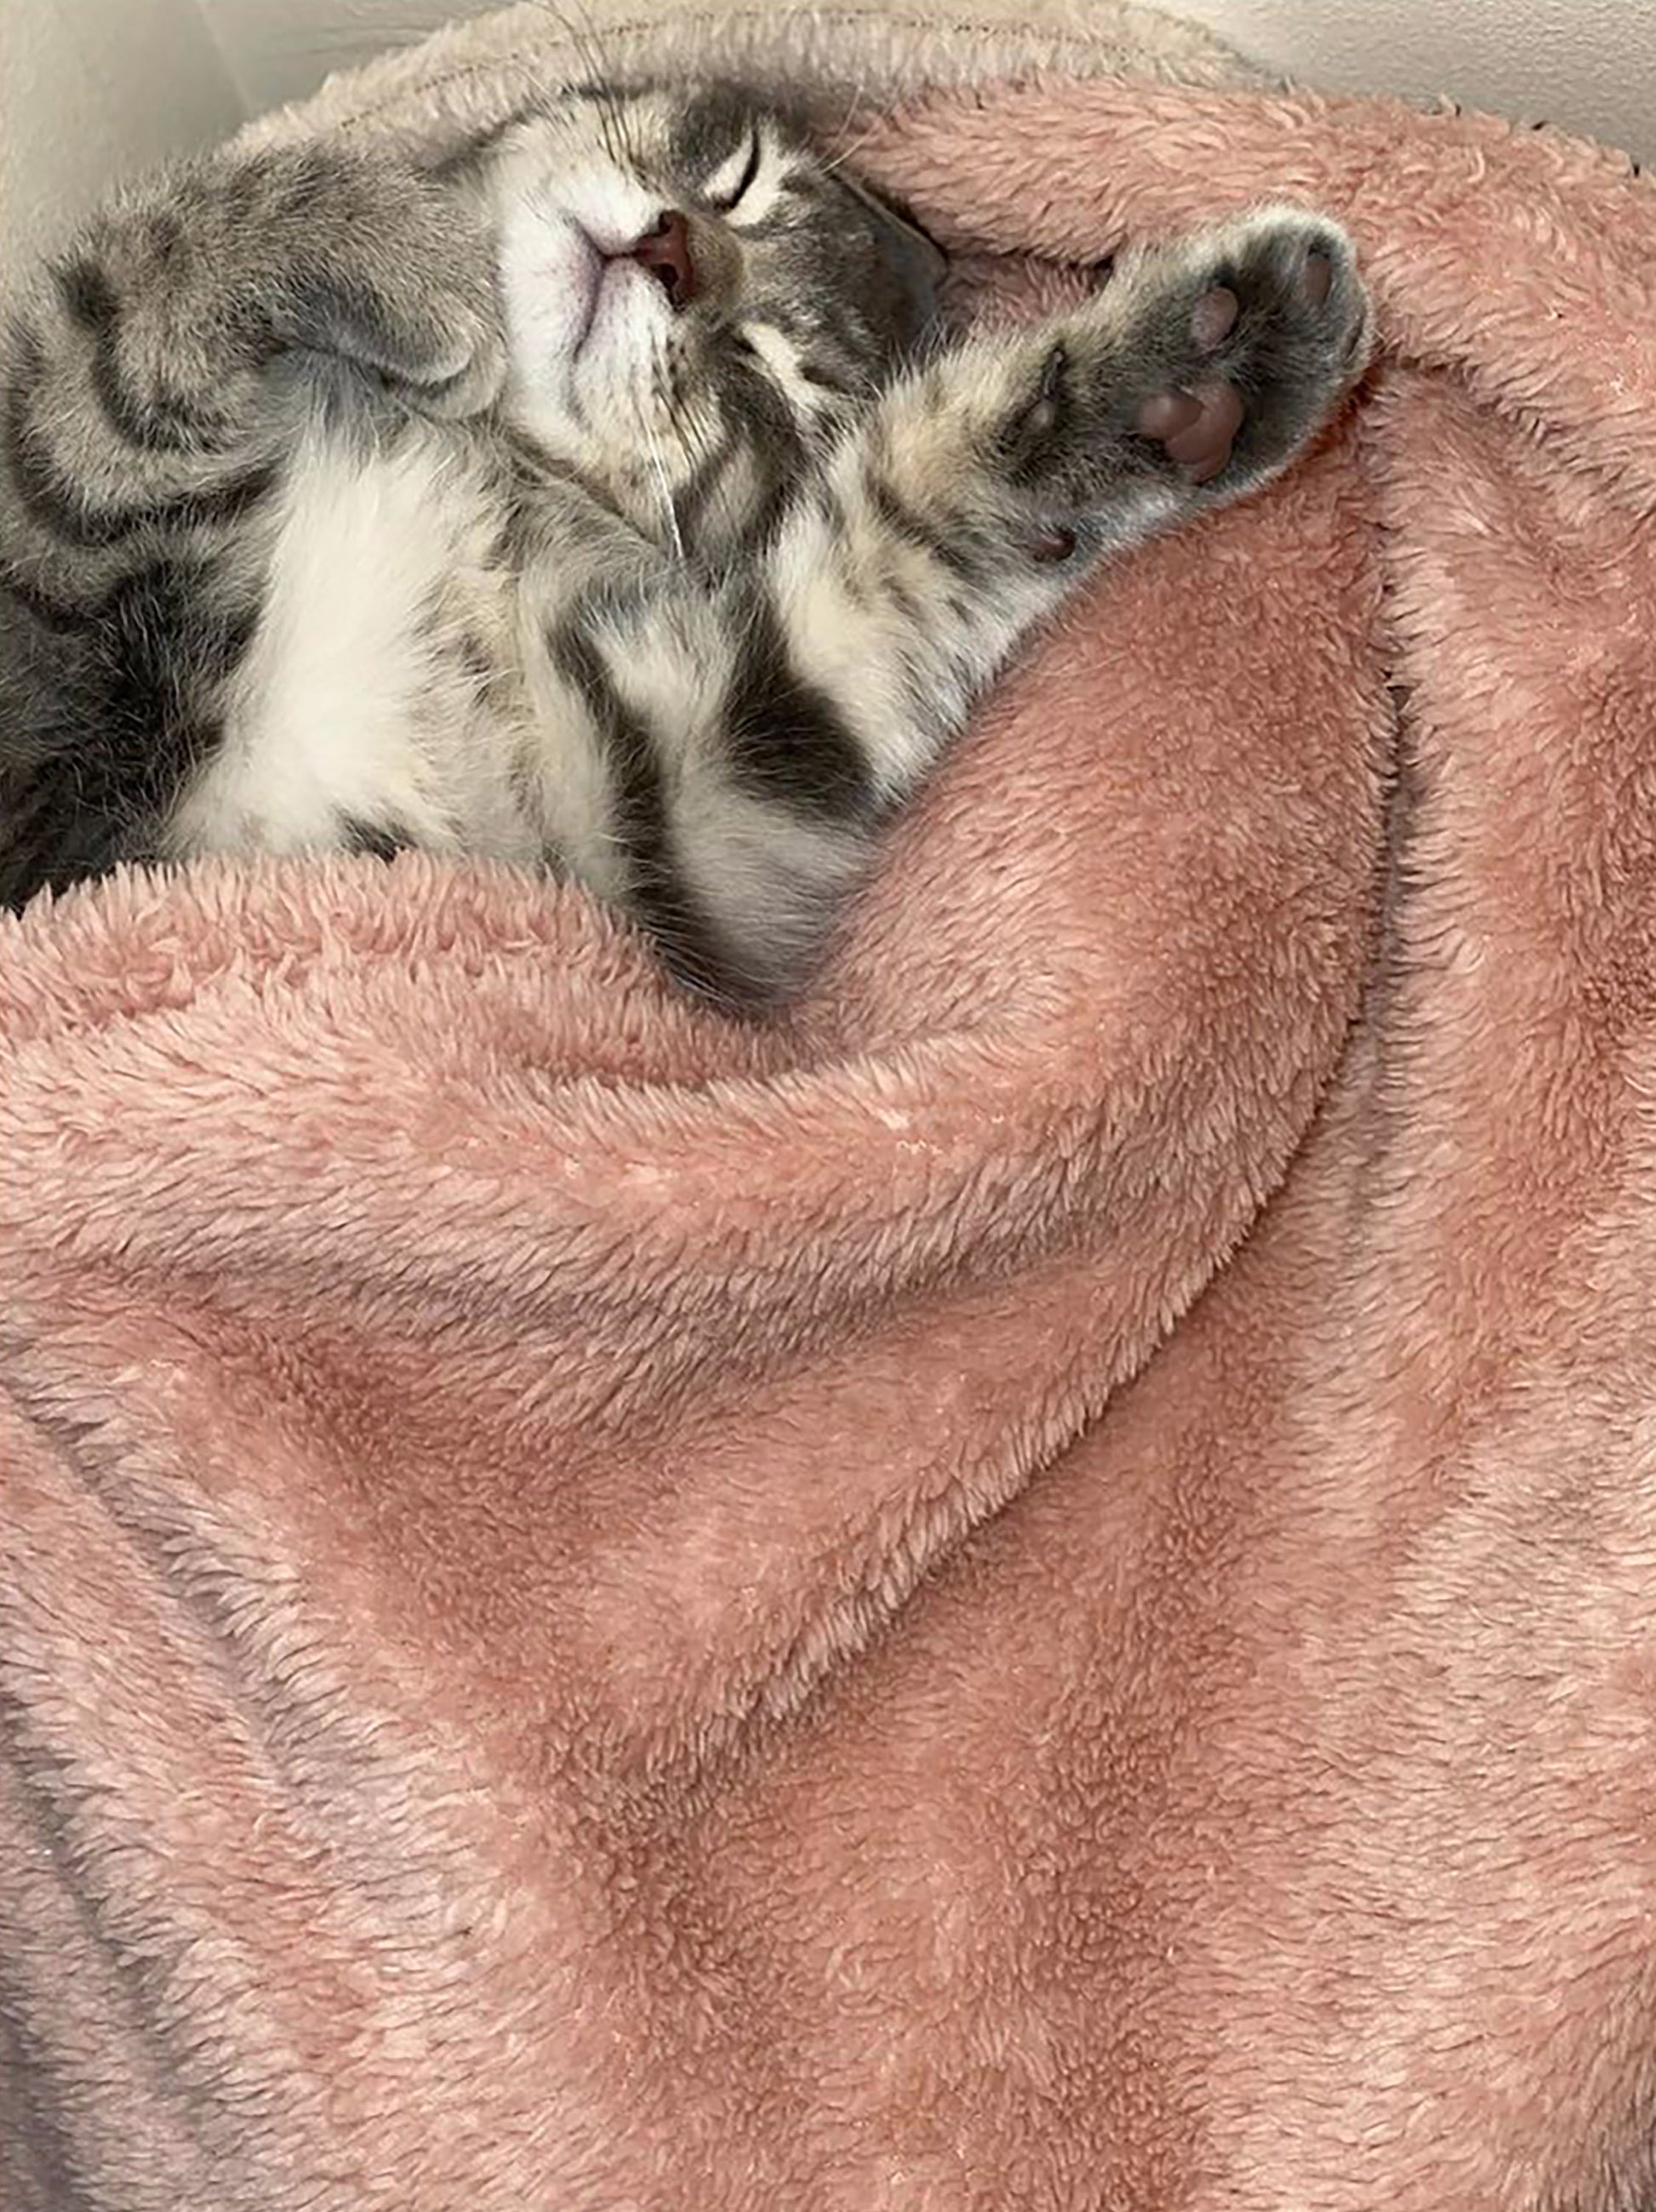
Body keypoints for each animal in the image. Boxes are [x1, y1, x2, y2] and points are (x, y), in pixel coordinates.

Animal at [0, 83, 1372, 1004]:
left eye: (779, 380)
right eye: (742, 172)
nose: (668, 249)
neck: (495, 472)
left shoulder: (658, 811)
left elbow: (888, 553)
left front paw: (1184, 387)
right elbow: (137, 294)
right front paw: (403, 245)